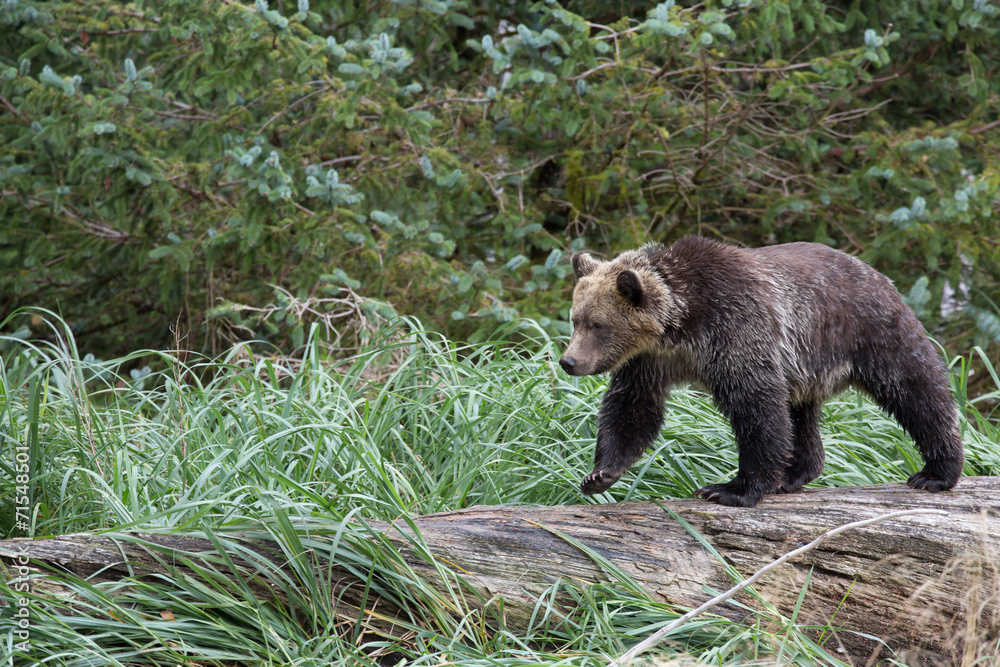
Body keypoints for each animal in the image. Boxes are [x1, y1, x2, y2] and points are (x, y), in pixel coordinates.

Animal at [559, 236, 964, 507]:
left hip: (871, 331)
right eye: (576, 319)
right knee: (801, 416)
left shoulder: (736, 329)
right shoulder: (650, 361)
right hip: (804, 367)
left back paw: (936, 471)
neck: (682, 324)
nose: (569, 361)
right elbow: (632, 408)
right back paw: (795, 473)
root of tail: (874, 271)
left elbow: (756, 408)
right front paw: (600, 474)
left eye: (598, 324)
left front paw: (731, 489)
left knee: (916, 389)